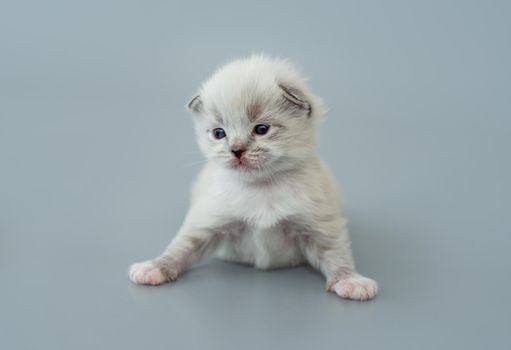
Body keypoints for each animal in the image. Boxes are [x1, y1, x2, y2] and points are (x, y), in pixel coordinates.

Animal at [130, 54, 378, 300]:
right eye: (219, 133)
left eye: (261, 129)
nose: (236, 150)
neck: (262, 186)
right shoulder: (209, 221)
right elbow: (182, 248)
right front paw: (154, 267)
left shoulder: (319, 226)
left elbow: (336, 255)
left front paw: (351, 281)